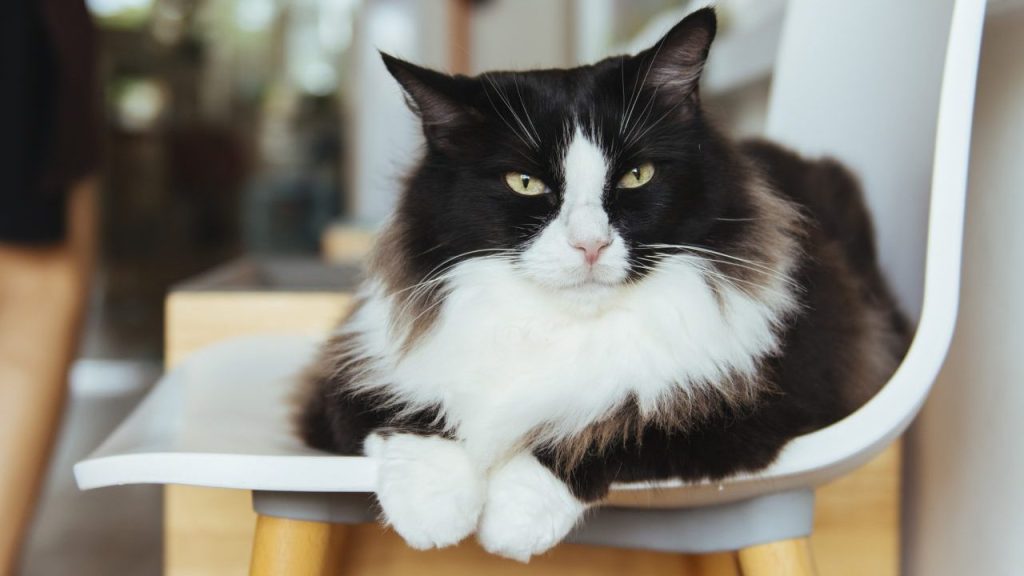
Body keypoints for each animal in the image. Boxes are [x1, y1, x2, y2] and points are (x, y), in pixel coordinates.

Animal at [299, 7, 909, 561]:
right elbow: (409, 417)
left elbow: (604, 429)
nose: (589, 245)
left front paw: (509, 521)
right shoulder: (344, 377)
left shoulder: (758, 403)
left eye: (637, 175)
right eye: (525, 183)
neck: (559, 326)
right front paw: (433, 511)